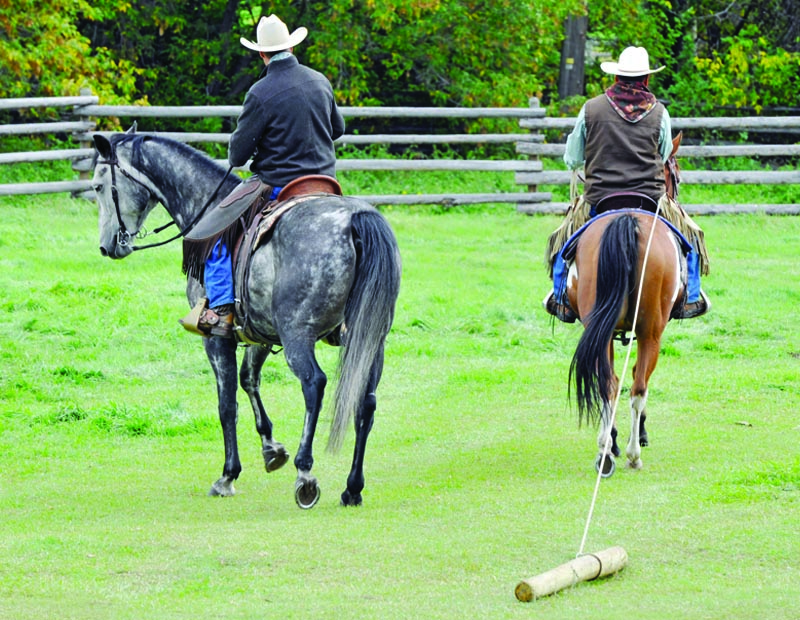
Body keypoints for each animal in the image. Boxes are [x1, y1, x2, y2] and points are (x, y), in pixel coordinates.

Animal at [91, 130, 401, 508]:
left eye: (98, 186)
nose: (107, 246)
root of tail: (355, 221)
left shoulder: (216, 339)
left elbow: (227, 404)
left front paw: (228, 475)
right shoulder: (260, 334)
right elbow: (249, 380)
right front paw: (271, 449)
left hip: (299, 336)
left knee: (314, 384)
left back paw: (306, 474)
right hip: (371, 339)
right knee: (365, 401)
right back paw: (352, 488)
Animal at [566, 206, 686, 477]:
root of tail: (628, 220)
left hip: (602, 331)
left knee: (609, 384)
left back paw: (606, 450)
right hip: (651, 333)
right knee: (638, 389)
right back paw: (633, 455)